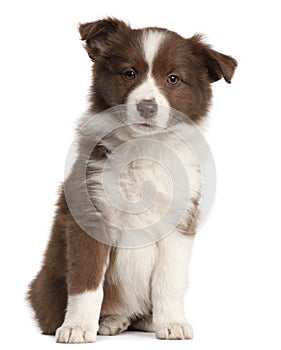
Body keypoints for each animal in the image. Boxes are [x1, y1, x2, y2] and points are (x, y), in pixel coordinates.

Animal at [27, 17, 236, 344]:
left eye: (173, 78)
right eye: (129, 73)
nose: (146, 107)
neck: (144, 147)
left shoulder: (180, 219)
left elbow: (169, 278)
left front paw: (172, 322)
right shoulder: (89, 213)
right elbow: (87, 280)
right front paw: (77, 327)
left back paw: (144, 319)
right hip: (44, 285)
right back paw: (109, 321)